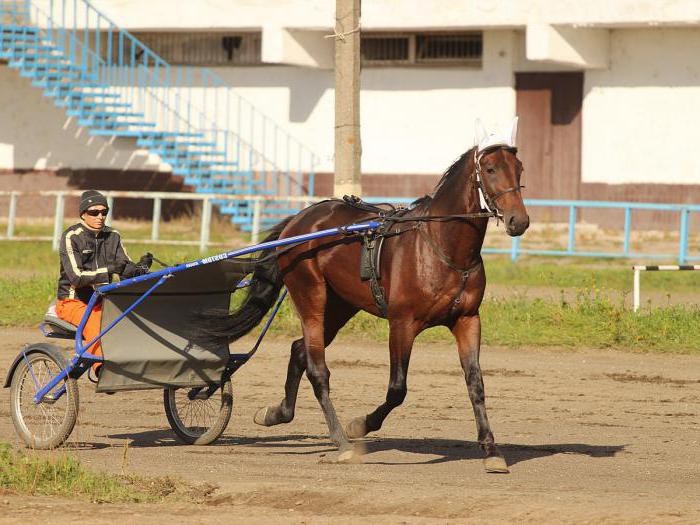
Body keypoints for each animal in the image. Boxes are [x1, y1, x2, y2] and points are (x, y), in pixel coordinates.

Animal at [205, 122, 528, 470]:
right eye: (491, 169)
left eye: (519, 168)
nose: (519, 220)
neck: (442, 248)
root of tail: (299, 220)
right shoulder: (402, 323)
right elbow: (397, 389)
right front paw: (359, 424)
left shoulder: (467, 319)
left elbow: (475, 383)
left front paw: (491, 451)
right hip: (311, 295)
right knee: (317, 369)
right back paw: (341, 441)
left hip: (340, 305)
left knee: (299, 350)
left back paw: (277, 413)